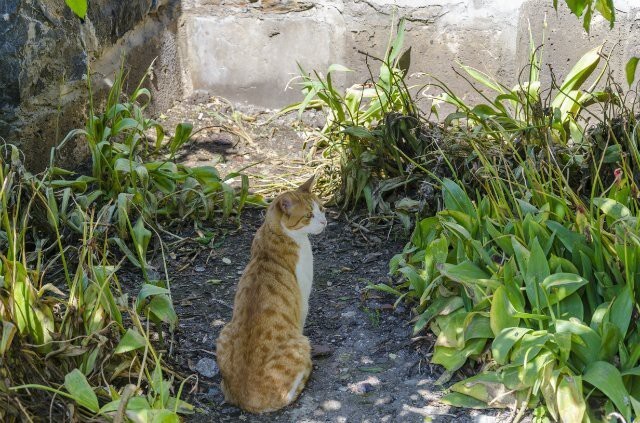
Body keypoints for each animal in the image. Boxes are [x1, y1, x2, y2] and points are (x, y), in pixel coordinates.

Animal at [216, 176, 328, 414]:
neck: (275, 233)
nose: (324, 222)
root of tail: (247, 401)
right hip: (301, 343)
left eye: (322, 209)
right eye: (308, 215)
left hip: (223, 332)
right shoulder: (303, 300)